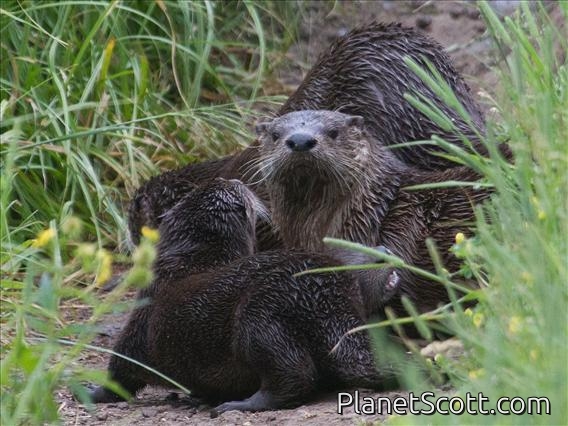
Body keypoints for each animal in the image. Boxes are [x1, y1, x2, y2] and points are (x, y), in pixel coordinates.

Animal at [90, 179, 401, 416]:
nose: (233, 179)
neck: (192, 262)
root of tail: (324, 295)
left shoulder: (141, 318)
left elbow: (121, 368)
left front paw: (93, 392)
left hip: (261, 315)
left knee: (293, 375)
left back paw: (236, 405)